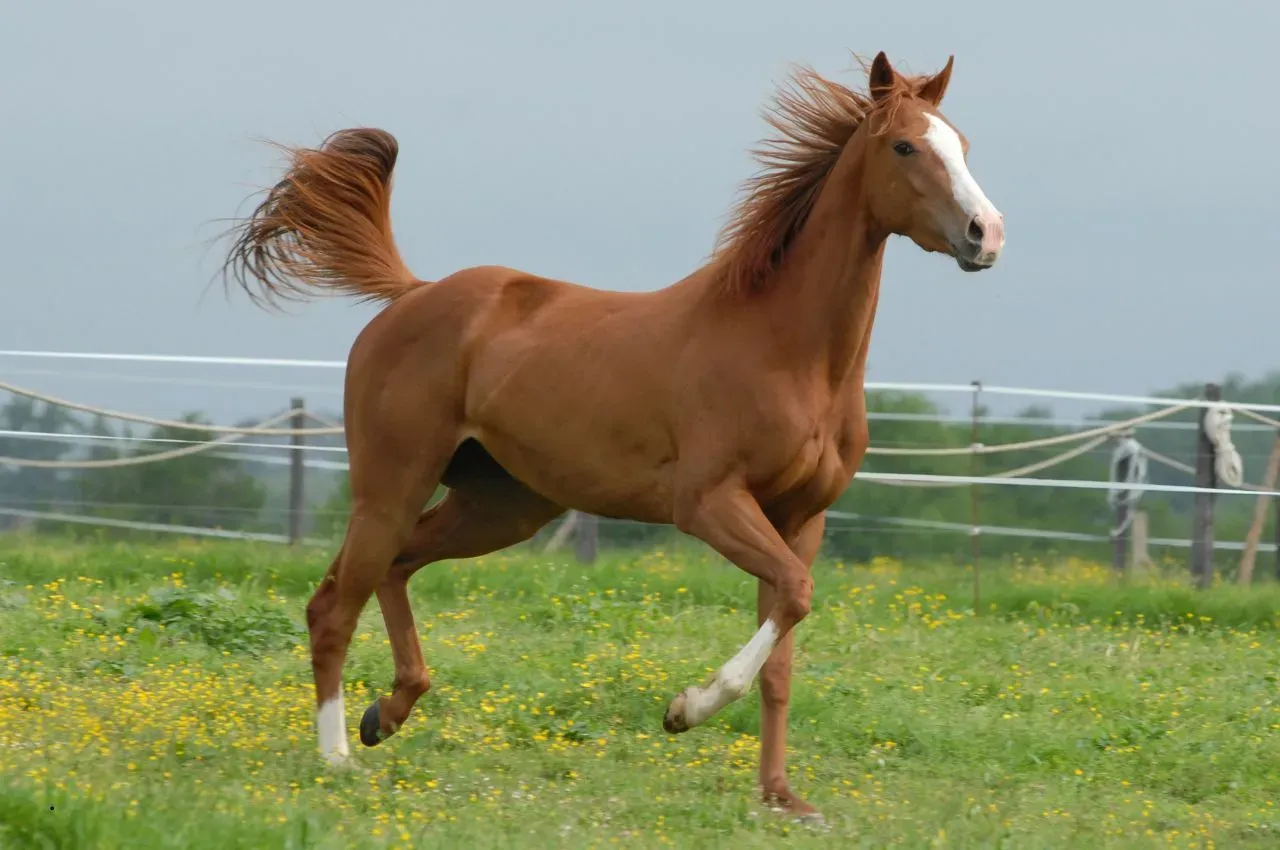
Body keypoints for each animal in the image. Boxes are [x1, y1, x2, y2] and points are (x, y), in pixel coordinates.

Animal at [221, 50, 1004, 821]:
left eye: (963, 145)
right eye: (905, 146)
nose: (986, 234)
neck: (787, 351)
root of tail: (412, 295)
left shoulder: (800, 518)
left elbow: (783, 646)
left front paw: (782, 797)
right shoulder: (709, 503)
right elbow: (794, 596)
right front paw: (685, 709)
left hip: (499, 506)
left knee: (393, 569)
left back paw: (386, 714)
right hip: (392, 485)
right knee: (334, 605)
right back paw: (337, 757)